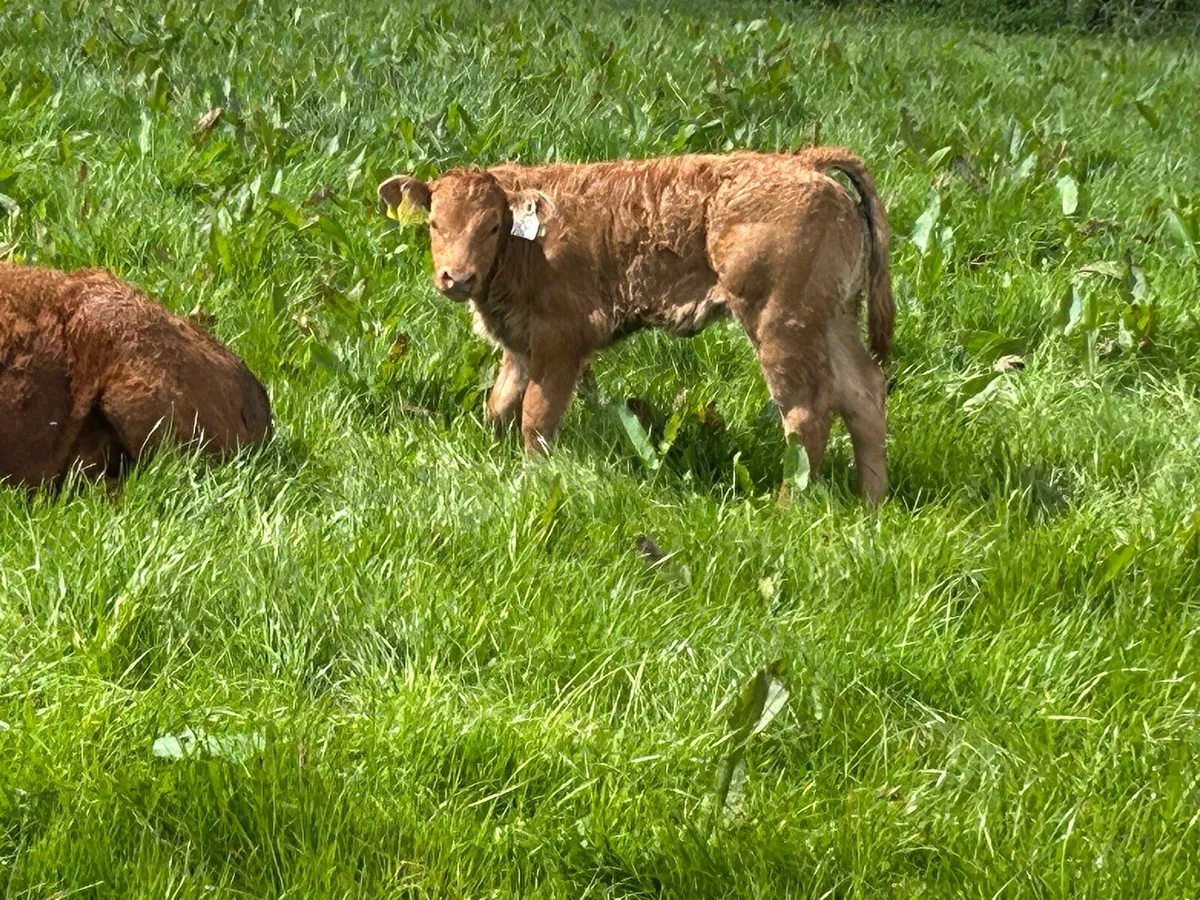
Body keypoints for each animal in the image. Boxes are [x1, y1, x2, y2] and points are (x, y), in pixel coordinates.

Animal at [378, 146, 894, 502]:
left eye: (490, 226)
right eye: (434, 224)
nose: (457, 278)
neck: (529, 245)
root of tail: (805, 161)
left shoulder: (560, 342)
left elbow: (535, 417)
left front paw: (533, 479)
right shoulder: (520, 345)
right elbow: (499, 406)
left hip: (781, 324)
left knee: (807, 412)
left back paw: (787, 505)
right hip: (834, 318)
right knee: (862, 393)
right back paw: (871, 503)